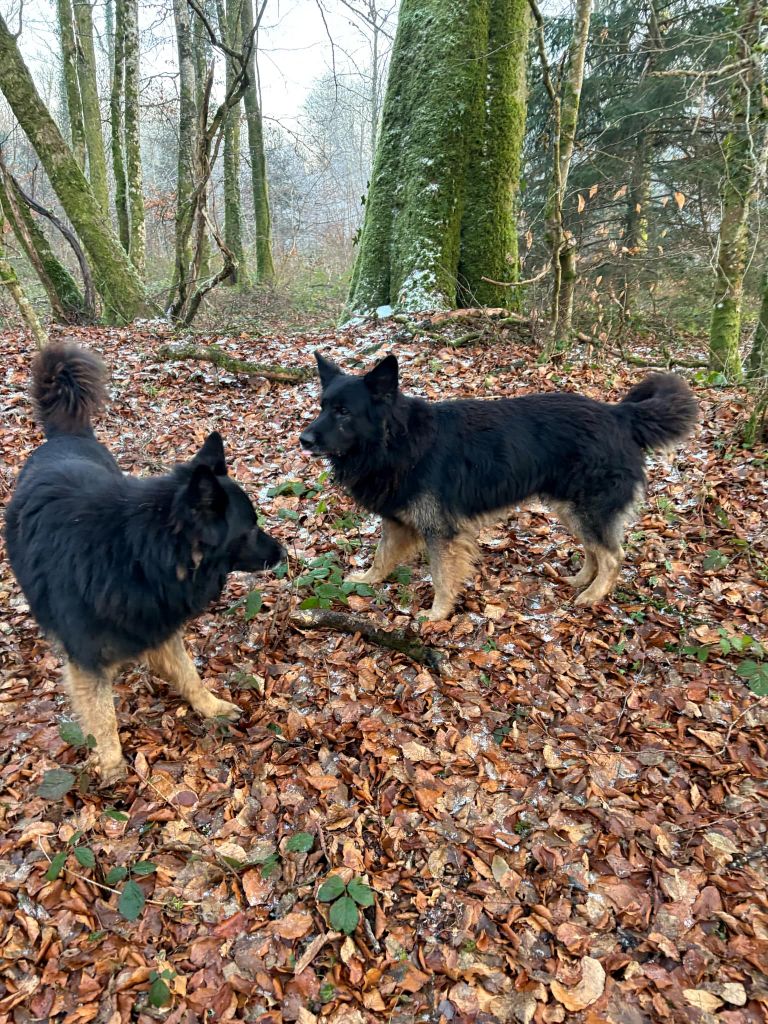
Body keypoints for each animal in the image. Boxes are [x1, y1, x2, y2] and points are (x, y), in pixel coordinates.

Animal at [5, 344, 286, 782]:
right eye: (251, 528)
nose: (283, 553)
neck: (142, 555)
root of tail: (66, 435)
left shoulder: (157, 622)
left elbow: (189, 673)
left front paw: (210, 707)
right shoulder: (87, 658)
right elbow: (102, 716)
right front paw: (111, 764)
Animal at [299, 352, 696, 618]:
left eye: (344, 412)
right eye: (322, 406)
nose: (303, 439)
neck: (397, 440)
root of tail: (619, 414)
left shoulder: (441, 532)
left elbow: (441, 576)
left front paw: (437, 615)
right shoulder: (398, 520)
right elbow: (382, 555)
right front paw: (367, 580)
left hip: (589, 509)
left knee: (613, 555)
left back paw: (593, 595)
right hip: (572, 510)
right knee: (593, 549)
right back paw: (581, 580)